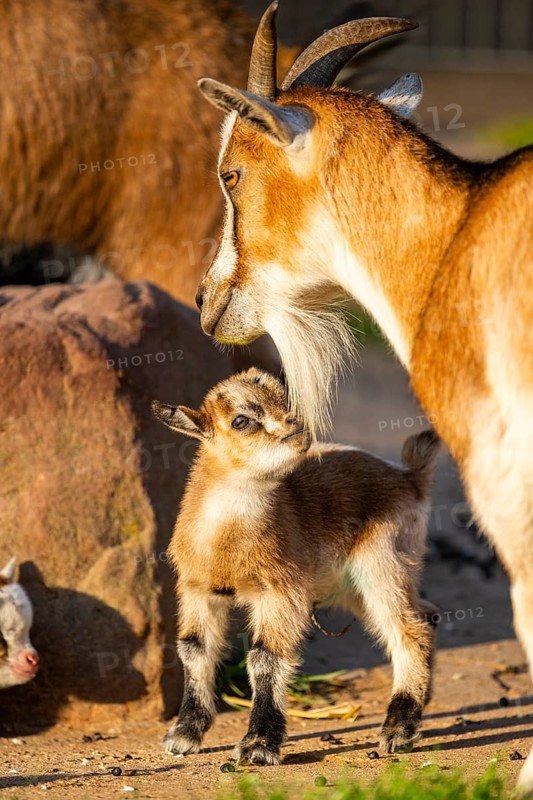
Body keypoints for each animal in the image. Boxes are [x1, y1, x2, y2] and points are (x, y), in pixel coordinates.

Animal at [152, 368, 440, 765]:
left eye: (286, 401)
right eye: (241, 421)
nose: (298, 427)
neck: (226, 545)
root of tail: (409, 478)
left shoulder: (281, 593)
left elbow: (264, 657)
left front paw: (258, 745)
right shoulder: (197, 591)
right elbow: (194, 650)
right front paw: (183, 735)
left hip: (382, 563)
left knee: (411, 630)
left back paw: (398, 730)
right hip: (358, 587)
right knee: (427, 615)